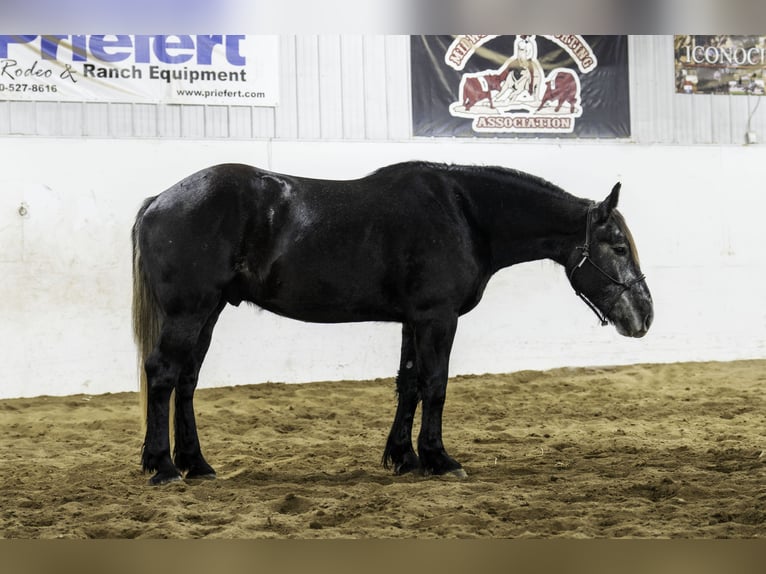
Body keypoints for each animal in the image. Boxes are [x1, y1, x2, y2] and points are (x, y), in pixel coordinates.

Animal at [132, 161, 656, 486]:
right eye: (618, 246)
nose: (646, 315)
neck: (465, 214)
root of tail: (159, 200)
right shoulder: (437, 318)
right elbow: (436, 385)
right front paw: (440, 460)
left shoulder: (413, 320)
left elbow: (409, 384)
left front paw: (404, 458)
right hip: (190, 311)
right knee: (163, 375)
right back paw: (163, 467)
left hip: (210, 312)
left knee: (186, 381)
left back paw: (197, 464)